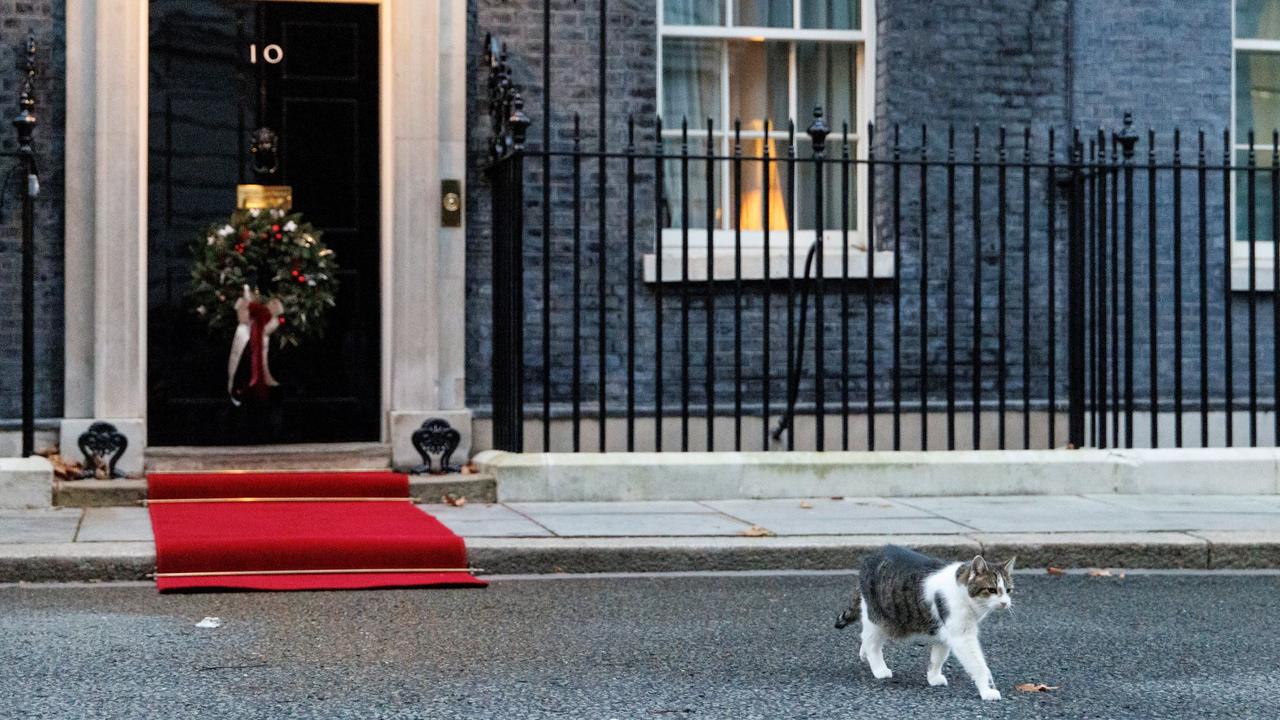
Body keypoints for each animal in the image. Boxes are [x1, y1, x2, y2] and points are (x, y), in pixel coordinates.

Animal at [834, 540, 1013, 696]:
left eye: (1008, 590)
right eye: (991, 590)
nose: (1005, 603)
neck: (962, 592)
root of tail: (871, 557)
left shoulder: (943, 632)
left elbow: (937, 658)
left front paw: (933, 678)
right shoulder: (962, 636)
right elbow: (978, 664)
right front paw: (987, 691)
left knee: (865, 638)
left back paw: (864, 654)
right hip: (878, 618)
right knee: (871, 642)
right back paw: (879, 669)